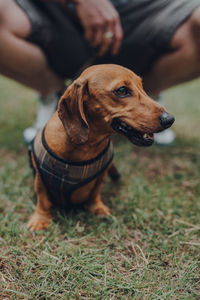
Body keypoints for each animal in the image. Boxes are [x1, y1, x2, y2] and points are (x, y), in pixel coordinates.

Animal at [27, 64, 174, 231]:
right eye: (122, 90)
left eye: (142, 86)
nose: (169, 119)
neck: (84, 148)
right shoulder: (40, 179)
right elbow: (43, 199)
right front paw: (40, 219)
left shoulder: (100, 176)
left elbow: (95, 192)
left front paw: (97, 208)